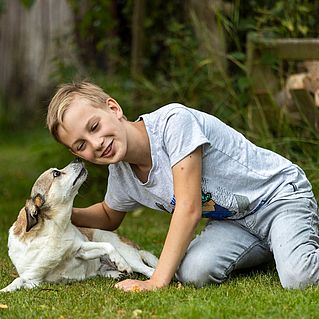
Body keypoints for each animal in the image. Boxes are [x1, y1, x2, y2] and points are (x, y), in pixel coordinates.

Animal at [0, 159, 158, 294]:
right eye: (56, 173)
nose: (77, 158)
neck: (55, 230)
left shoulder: (81, 249)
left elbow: (107, 246)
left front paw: (120, 262)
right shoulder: (34, 279)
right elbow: (19, 280)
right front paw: (7, 289)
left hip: (128, 256)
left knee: (148, 270)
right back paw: (115, 274)